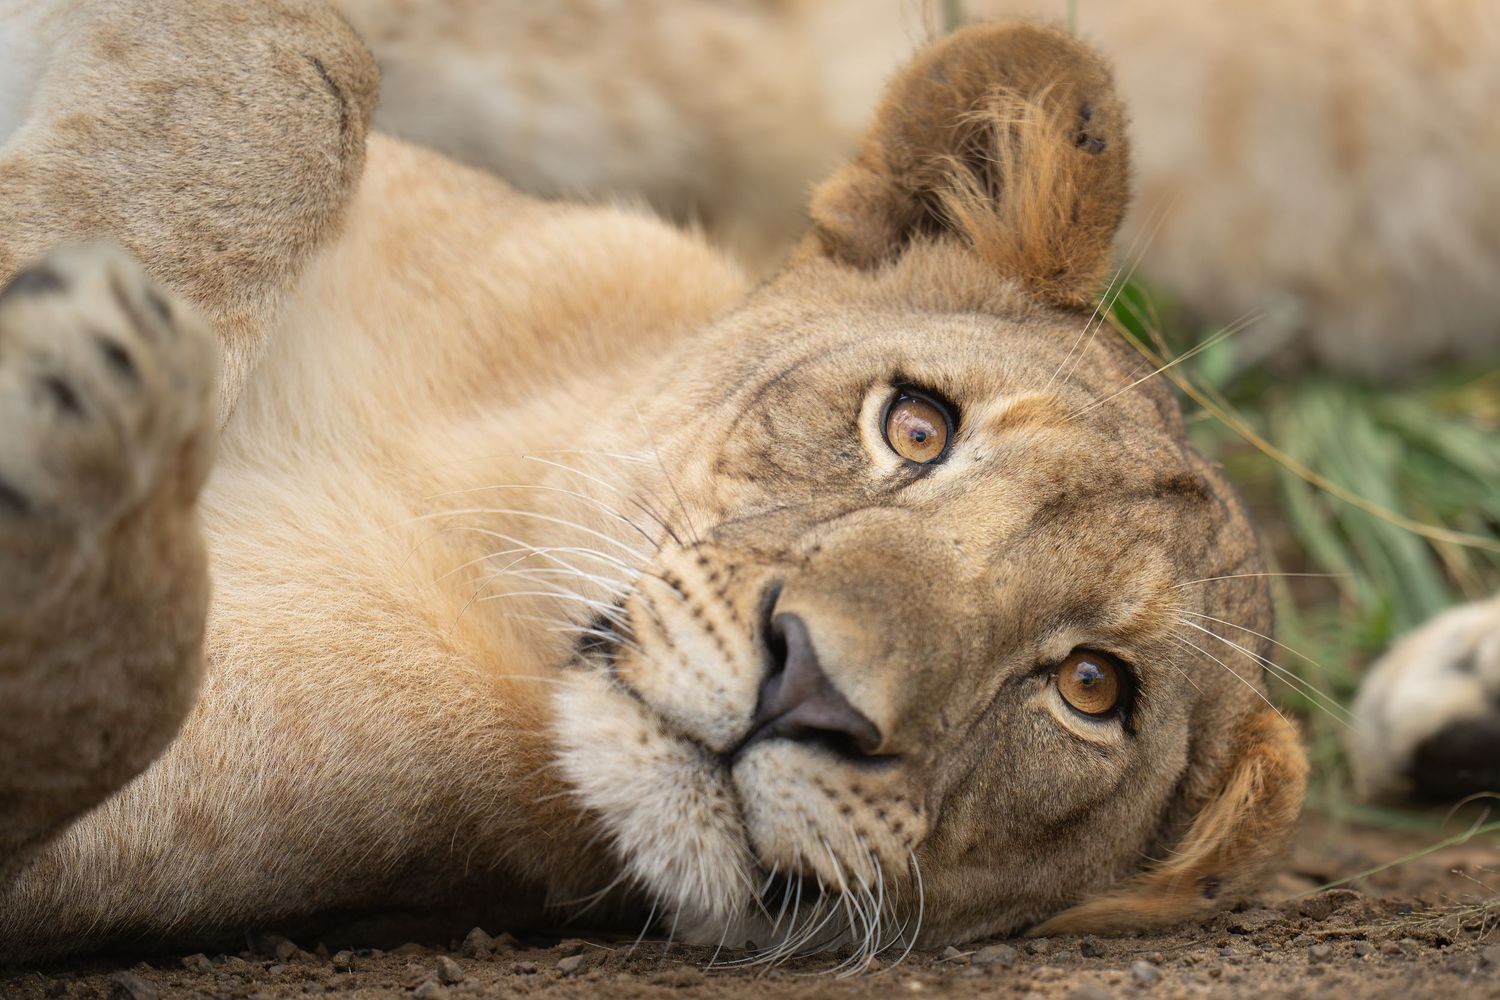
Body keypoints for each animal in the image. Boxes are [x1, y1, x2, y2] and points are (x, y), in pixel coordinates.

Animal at [0, 0, 1309, 962]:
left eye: (1093, 687)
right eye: (917, 427)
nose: (808, 689)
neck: (482, 501)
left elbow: (120, 680)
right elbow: (317, 67)